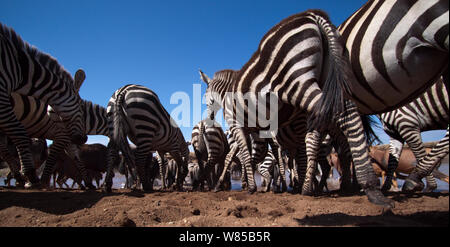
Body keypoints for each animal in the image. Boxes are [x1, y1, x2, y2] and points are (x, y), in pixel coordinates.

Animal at [200, 9, 394, 206]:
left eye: (206, 97)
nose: (208, 119)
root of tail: (313, 14)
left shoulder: (236, 125)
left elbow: (243, 156)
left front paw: (250, 187)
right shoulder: (255, 129)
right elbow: (252, 156)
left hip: (297, 80)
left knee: (342, 116)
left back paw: (367, 187)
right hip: (326, 81)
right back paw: (339, 185)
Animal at [340, 0, 448, 191]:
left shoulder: (407, 123)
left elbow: (418, 151)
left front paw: (418, 181)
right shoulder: (396, 132)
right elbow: (392, 160)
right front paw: (388, 187)